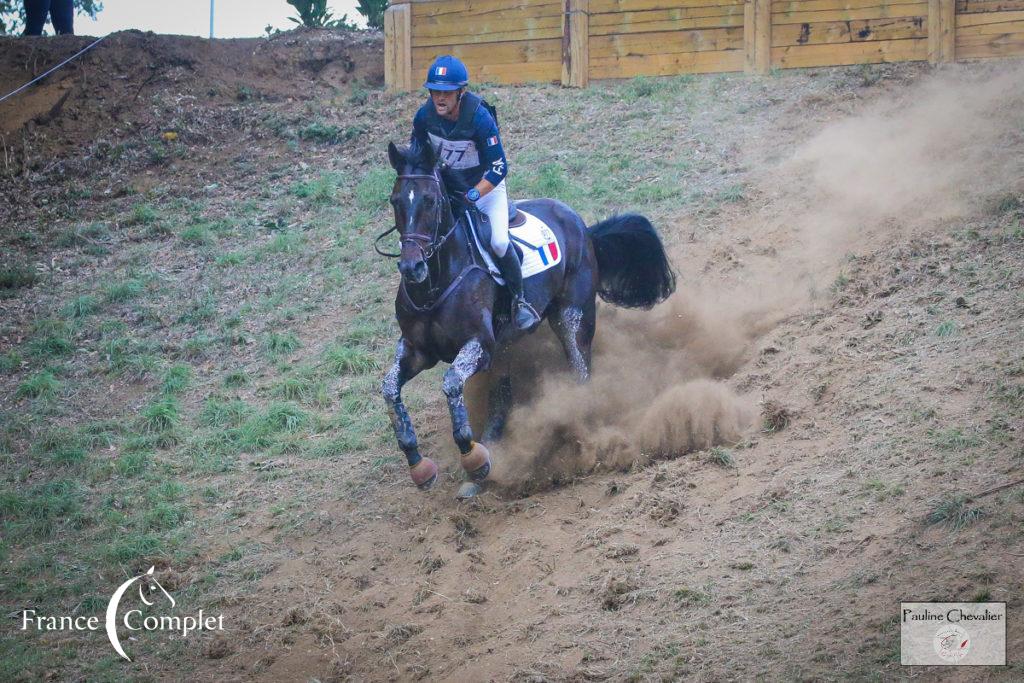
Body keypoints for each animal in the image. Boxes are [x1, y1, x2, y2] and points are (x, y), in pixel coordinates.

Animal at [380, 141, 675, 499]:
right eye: (395, 200)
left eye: (430, 200)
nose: (412, 267)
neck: (435, 283)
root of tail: (582, 227)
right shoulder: (417, 350)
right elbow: (389, 390)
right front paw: (420, 465)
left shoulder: (479, 345)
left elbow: (450, 384)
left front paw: (471, 456)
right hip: (506, 348)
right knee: (501, 398)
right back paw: (484, 466)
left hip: (571, 317)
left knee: (580, 372)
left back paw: (576, 433)